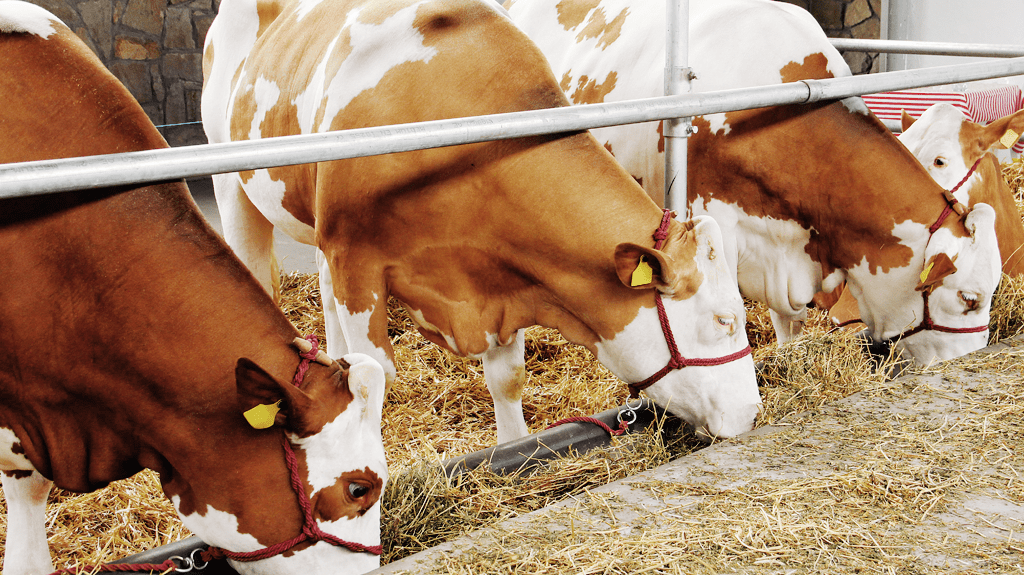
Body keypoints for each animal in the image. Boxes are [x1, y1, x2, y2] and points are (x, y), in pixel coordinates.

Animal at [201, 0, 760, 445]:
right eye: (724, 321)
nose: (753, 413)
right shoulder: (355, 257)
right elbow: (378, 377)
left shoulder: (503, 272)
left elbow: (508, 377)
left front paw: (512, 449)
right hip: (235, 186)